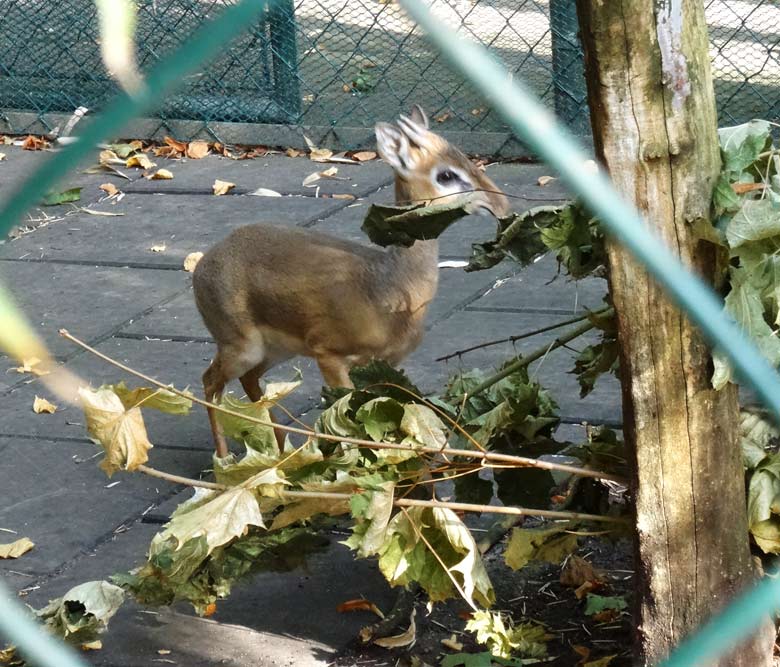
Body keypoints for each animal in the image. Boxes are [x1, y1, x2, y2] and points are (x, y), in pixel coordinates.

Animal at [194, 107, 508, 456]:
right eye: (446, 175)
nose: (500, 204)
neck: (387, 288)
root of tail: (204, 263)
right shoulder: (329, 354)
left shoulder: (383, 365)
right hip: (241, 345)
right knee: (209, 383)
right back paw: (225, 460)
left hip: (276, 350)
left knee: (248, 380)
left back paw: (282, 450)